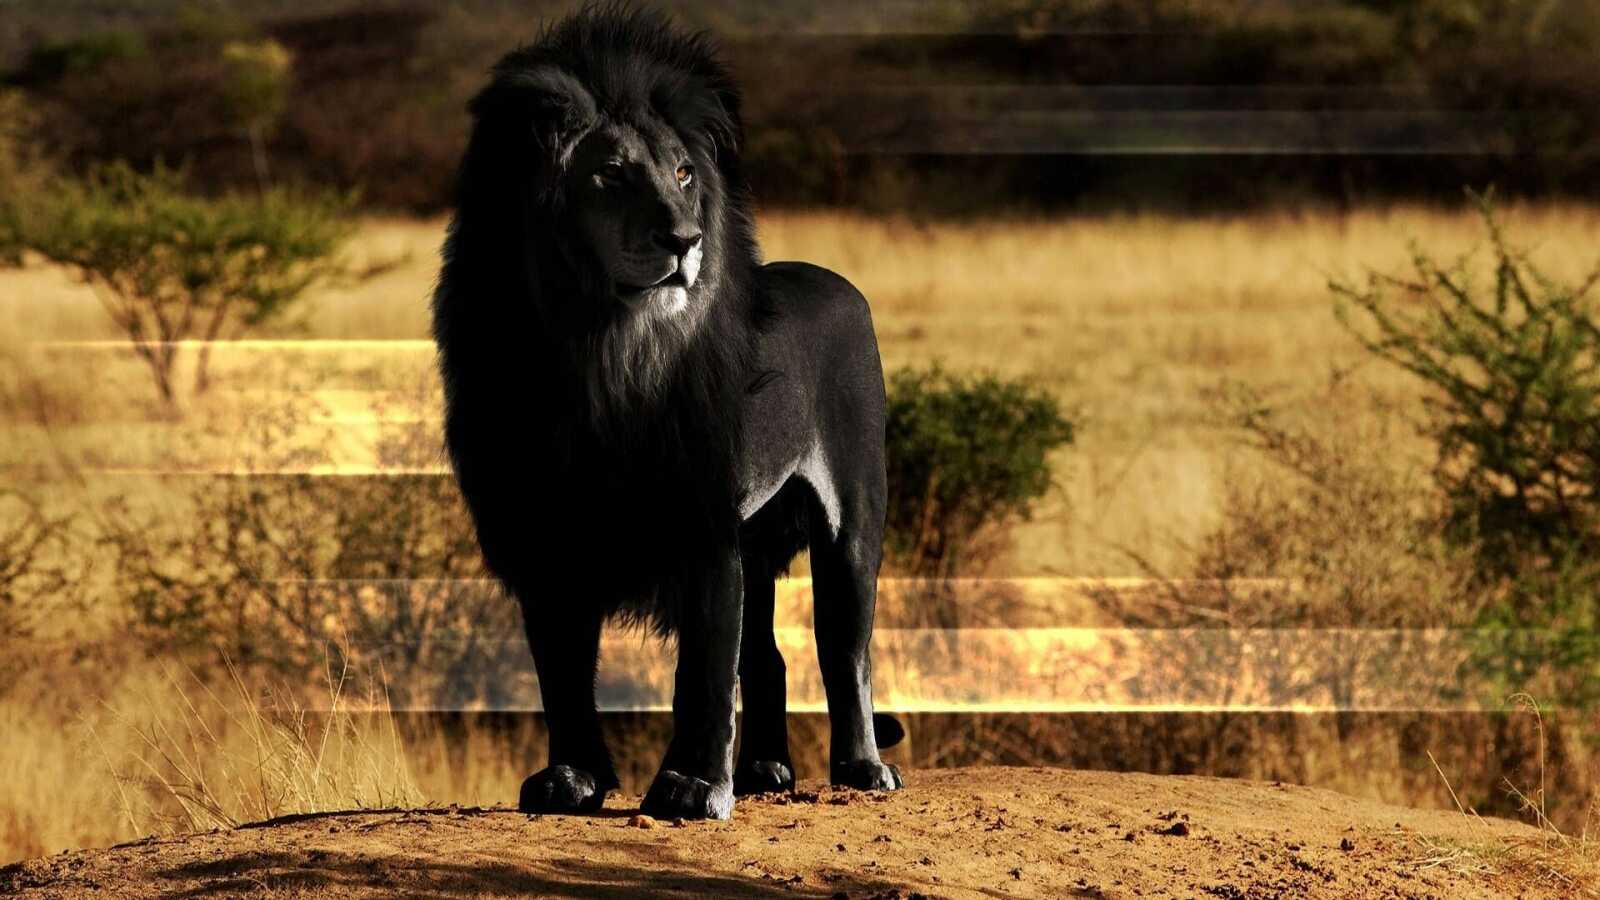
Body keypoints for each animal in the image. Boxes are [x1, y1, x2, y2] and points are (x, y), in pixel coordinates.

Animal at [431, 6, 902, 820]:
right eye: (611, 174)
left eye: (684, 174)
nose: (686, 239)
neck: (598, 351)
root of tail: (839, 282)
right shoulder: (542, 533)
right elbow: (562, 672)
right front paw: (572, 780)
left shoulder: (703, 520)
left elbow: (703, 670)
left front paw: (690, 787)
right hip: (758, 538)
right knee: (769, 657)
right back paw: (765, 771)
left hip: (851, 517)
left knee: (846, 649)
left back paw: (860, 768)